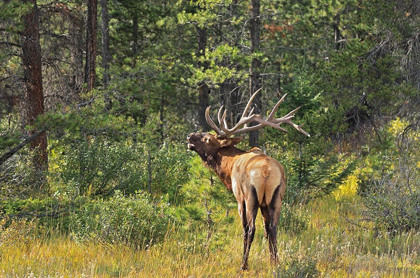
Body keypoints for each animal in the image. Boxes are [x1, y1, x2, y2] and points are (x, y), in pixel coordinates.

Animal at [187, 89, 308, 270]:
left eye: (207, 138)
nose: (189, 137)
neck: (229, 168)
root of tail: (266, 172)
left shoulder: (239, 199)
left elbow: (245, 229)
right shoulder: (265, 203)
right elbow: (267, 230)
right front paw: (272, 259)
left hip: (251, 197)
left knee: (251, 229)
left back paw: (243, 264)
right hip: (276, 197)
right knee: (272, 228)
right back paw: (276, 262)